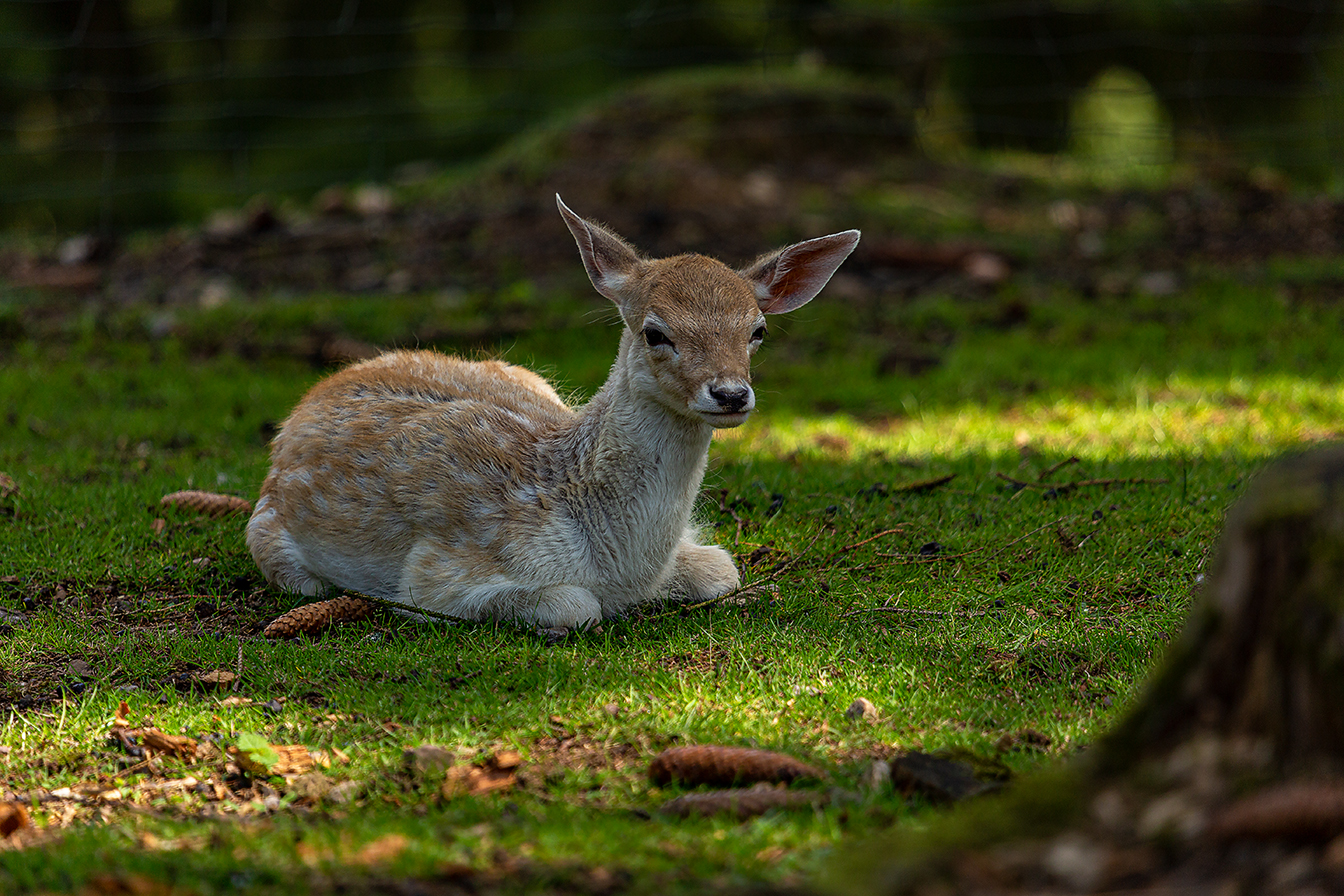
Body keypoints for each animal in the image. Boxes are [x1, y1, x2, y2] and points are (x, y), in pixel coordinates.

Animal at [245, 196, 854, 631]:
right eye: (655, 332)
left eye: (757, 330)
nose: (729, 394)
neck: (621, 563)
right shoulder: (437, 573)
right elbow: (574, 606)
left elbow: (723, 570)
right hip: (269, 542)